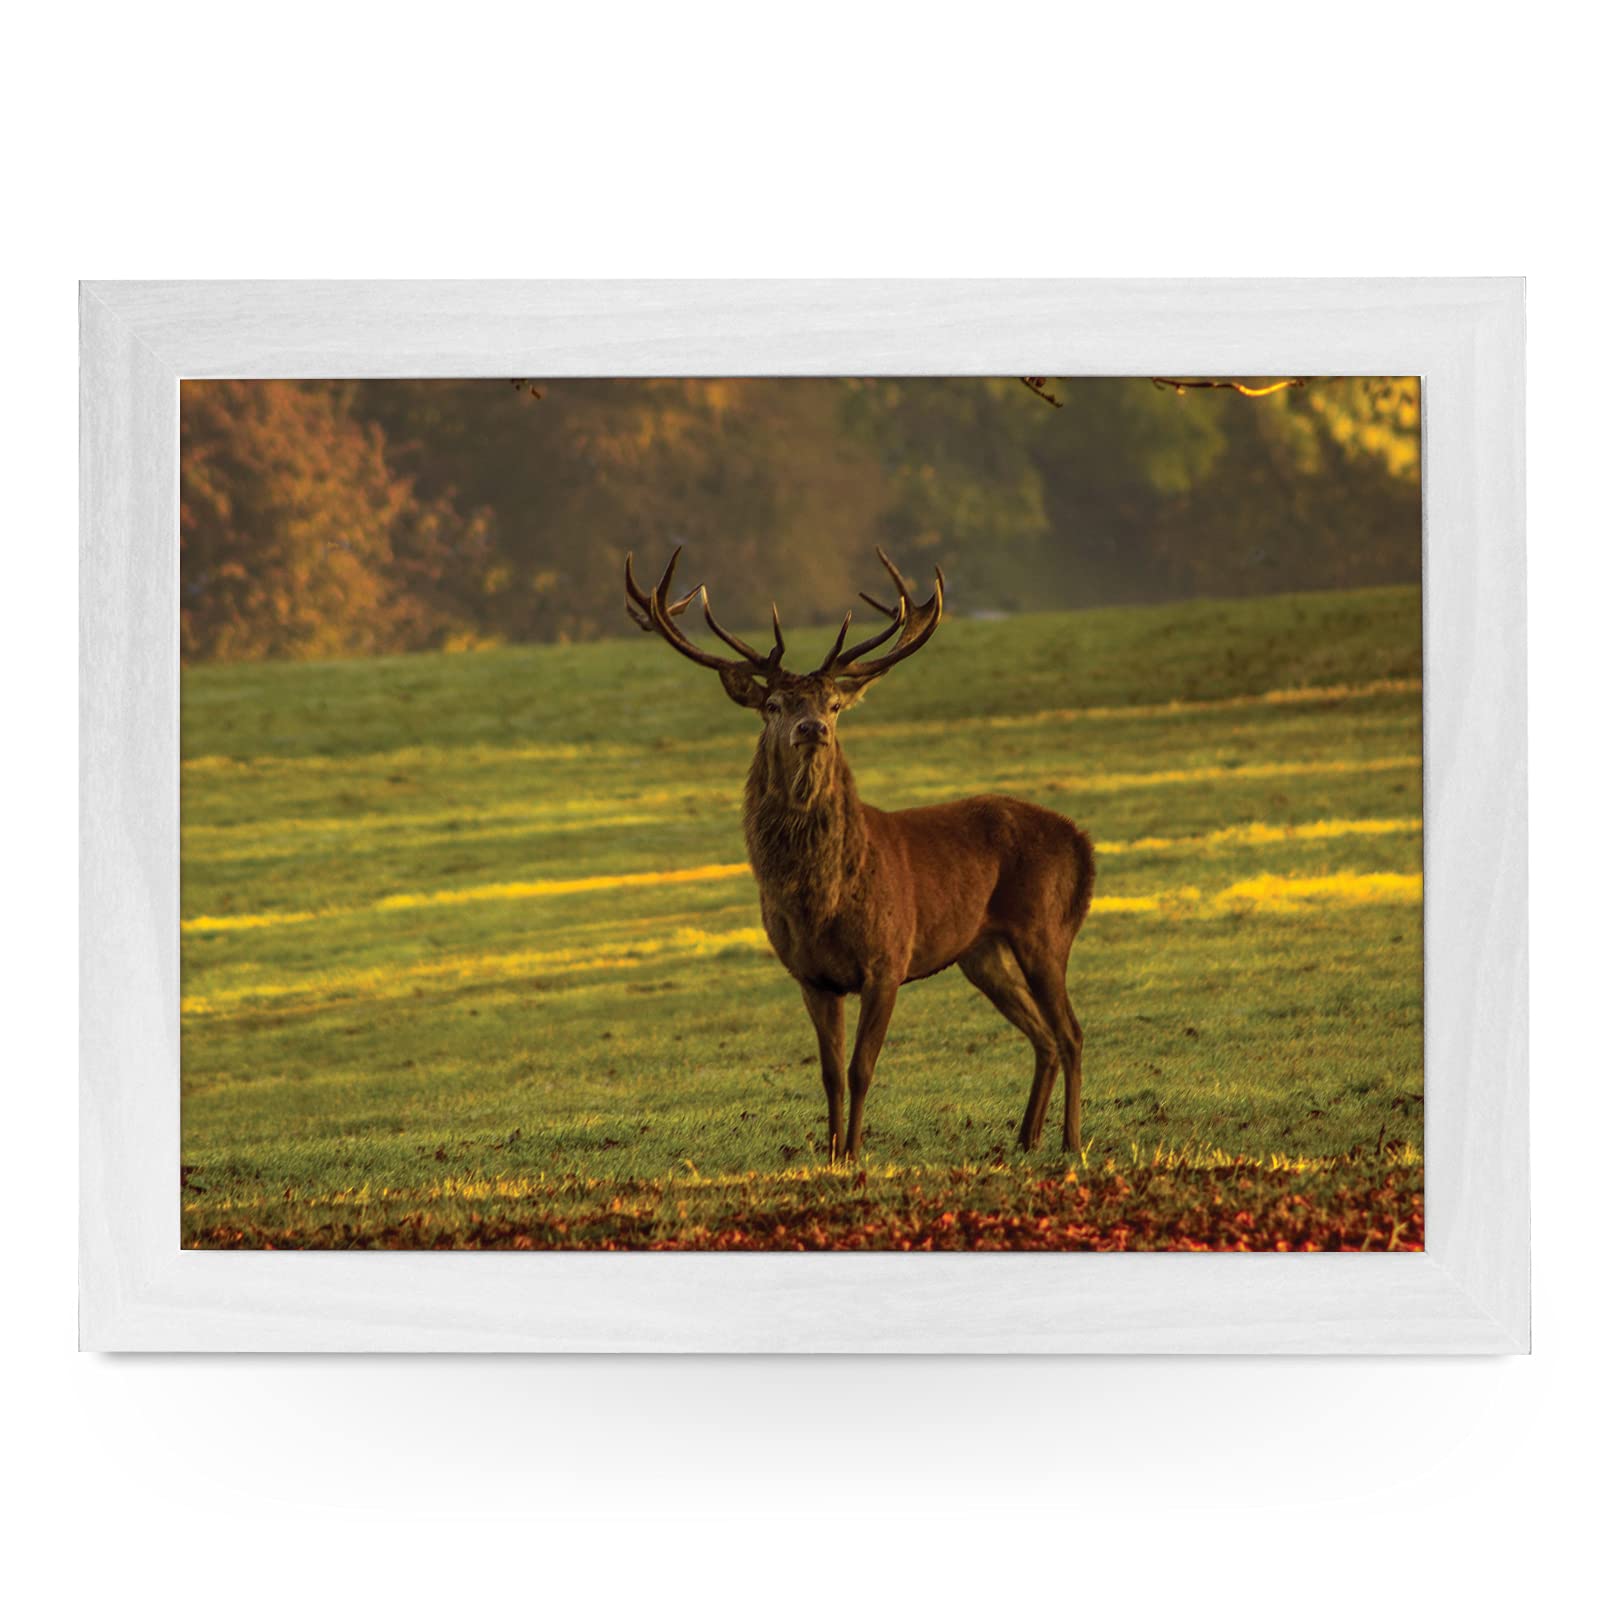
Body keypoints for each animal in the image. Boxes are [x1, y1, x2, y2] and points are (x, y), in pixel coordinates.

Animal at [624, 546, 1095, 1164]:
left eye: (833, 704)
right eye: (772, 703)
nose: (811, 728)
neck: (820, 901)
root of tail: (1082, 843)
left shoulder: (888, 959)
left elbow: (861, 1068)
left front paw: (852, 1153)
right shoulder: (810, 975)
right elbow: (828, 1073)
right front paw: (829, 1153)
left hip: (1046, 928)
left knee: (1071, 1032)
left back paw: (1070, 1140)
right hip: (982, 952)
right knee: (1042, 1035)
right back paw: (1025, 1136)